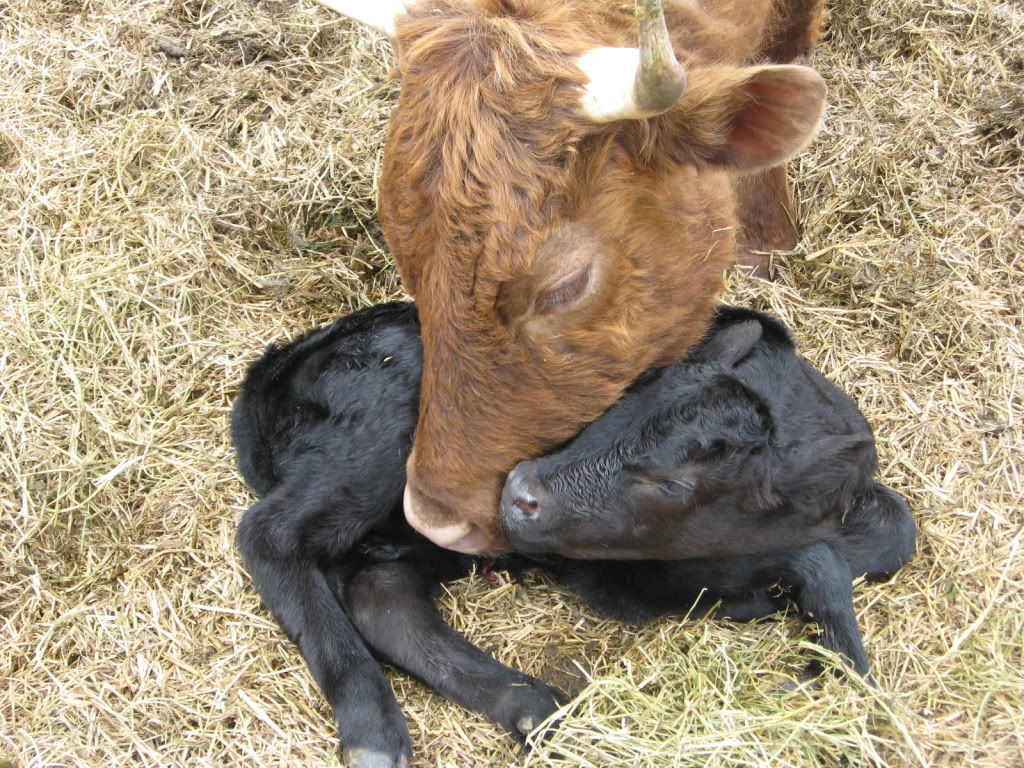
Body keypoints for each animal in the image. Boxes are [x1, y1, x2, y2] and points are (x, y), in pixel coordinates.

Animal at [233, 302, 913, 767]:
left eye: (674, 483)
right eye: (630, 392)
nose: (519, 491)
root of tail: (278, 366)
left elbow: (890, 533)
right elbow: (823, 555)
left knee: (384, 599)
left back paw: (535, 708)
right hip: (385, 428)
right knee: (269, 535)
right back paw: (373, 730)